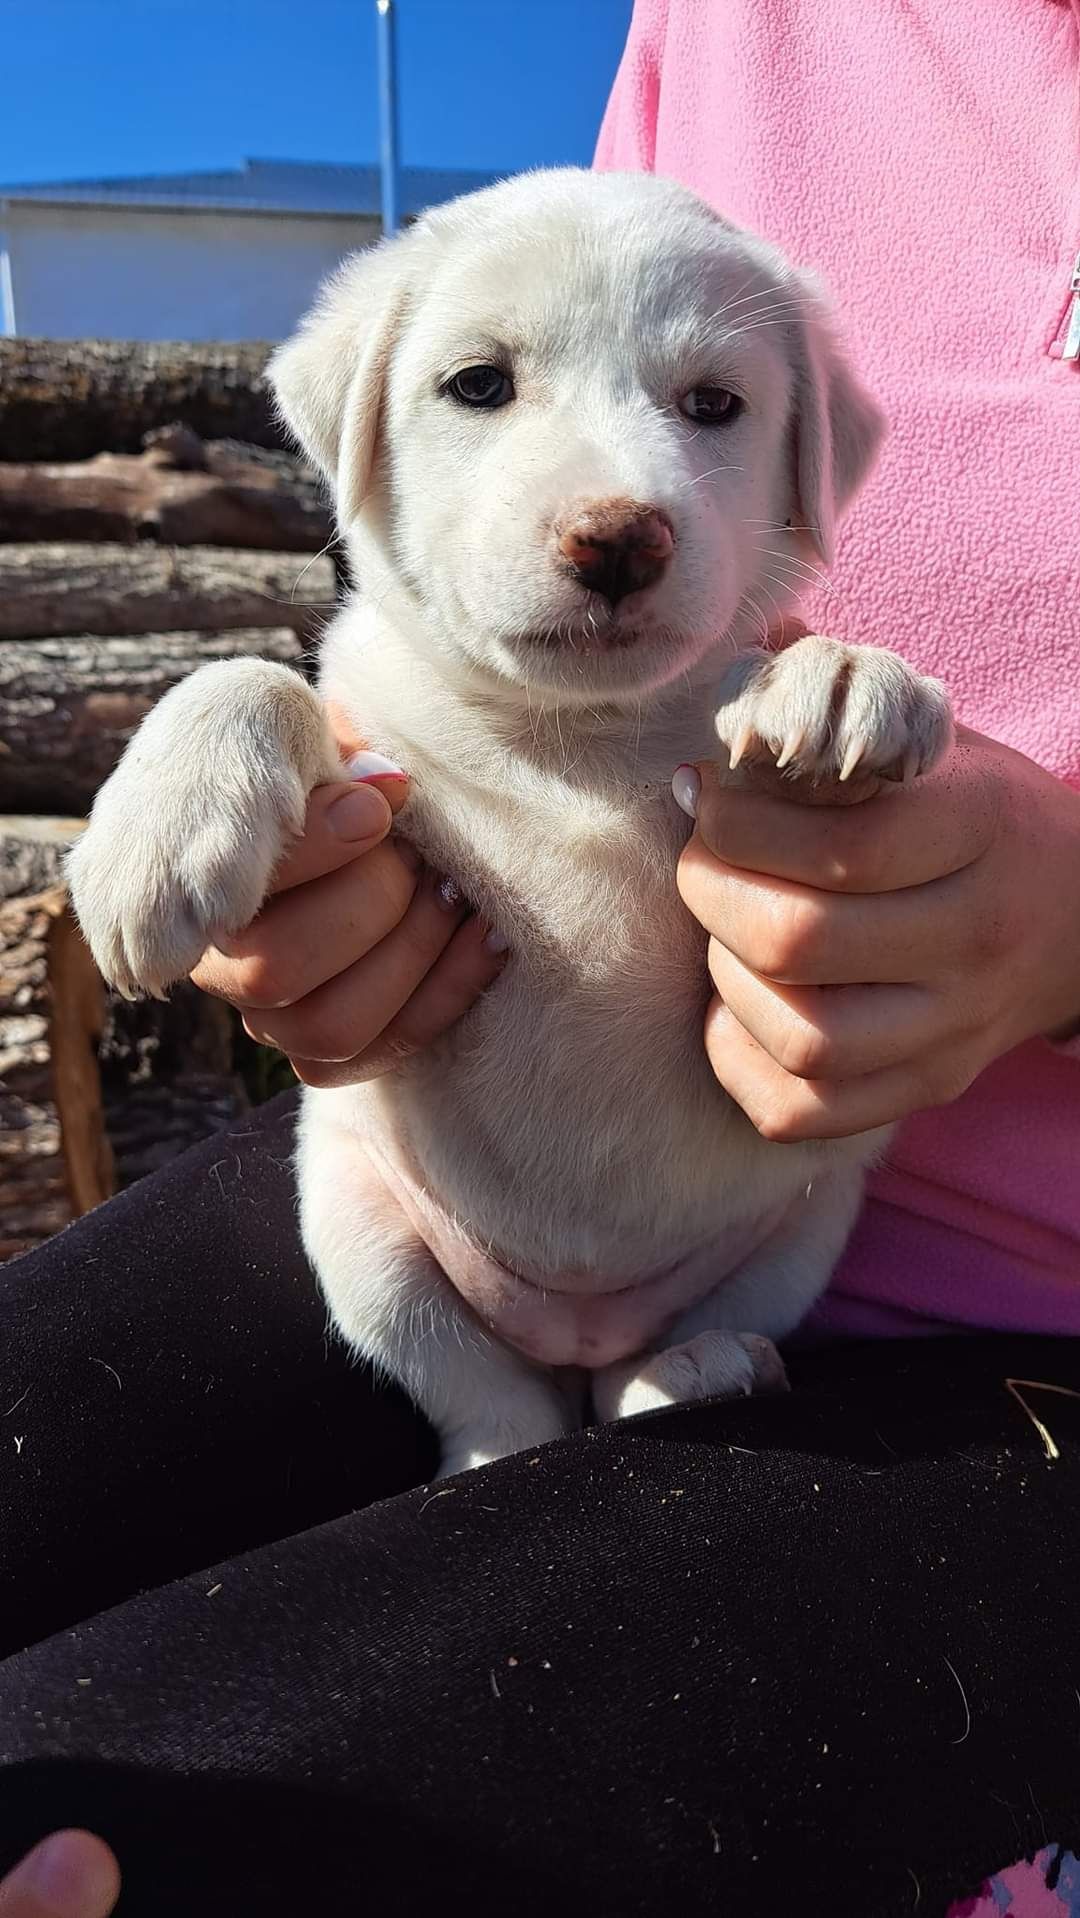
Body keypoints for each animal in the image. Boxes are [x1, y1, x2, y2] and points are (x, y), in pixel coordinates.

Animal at [67, 172, 951, 1473]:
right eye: (479, 384)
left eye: (715, 405)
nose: (620, 535)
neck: (569, 739)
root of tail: (576, 1333)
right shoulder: (375, 758)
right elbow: (254, 674)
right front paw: (158, 831)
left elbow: (777, 668)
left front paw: (835, 673)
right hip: (361, 1229)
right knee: (486, 1402)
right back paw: (510, 1444)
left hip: (800, 1224)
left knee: (641, 1374)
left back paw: (698, 1370)